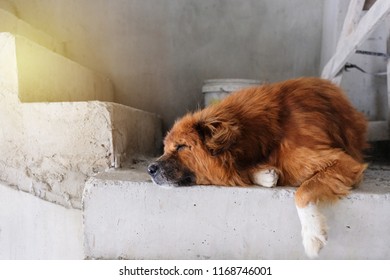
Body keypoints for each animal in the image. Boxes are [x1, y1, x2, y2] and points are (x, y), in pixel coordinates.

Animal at [148, 77, 368, 258]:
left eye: (182, 146)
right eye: (165, 148)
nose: (150, 169)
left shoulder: (343, 162)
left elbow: (303, 192)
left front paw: (312, 234)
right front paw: (264, 174)